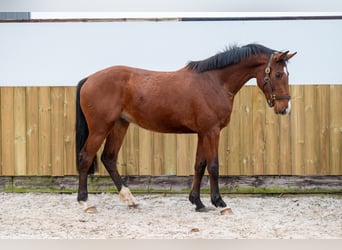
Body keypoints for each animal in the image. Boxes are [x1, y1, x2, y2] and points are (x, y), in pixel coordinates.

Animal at [76, 44, 296, 212]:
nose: (285, 108)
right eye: (278, 74)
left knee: (109, 158)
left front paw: (197, 202)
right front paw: (219, 202)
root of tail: (89, 78)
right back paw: (85, 202)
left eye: (287, 74)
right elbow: (213, 166)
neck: (215, 82)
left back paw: (129, 198)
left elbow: (199, 165)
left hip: (119, 125)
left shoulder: (202, 133)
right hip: (100, 128)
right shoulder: (212, 132)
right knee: (86, 157)